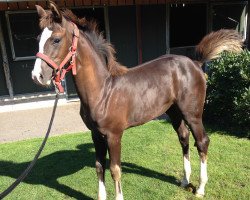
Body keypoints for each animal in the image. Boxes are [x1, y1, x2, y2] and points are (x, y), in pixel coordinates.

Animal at [31, 2, 242, 199]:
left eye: (56, 39)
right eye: (38, 39)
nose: (37, 76)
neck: (103, 91)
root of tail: (195, 63)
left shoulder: (114, 135)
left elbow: (115, 170)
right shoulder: (96, 135)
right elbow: (99, 167)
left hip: (193, 114)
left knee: (202, 142)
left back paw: (200, 188)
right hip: (174, 112)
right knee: (184, 138)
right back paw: (184, 180)